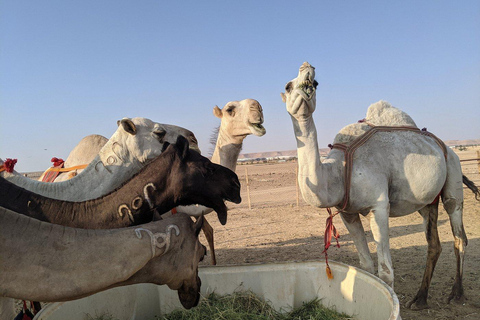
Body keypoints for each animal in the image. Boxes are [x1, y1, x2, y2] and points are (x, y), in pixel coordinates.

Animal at [282, 62, 476, 310]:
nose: (306, 69)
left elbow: (385, 272)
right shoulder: (347, 213)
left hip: (453, 171)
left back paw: (457, 294)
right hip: (427, 201)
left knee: (459, 233)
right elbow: (365, 266)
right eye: (288, 86)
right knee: (434, 243)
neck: (337, 172)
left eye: (315, 83)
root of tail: (448, 148)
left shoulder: (379, 206)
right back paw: (420, 299)